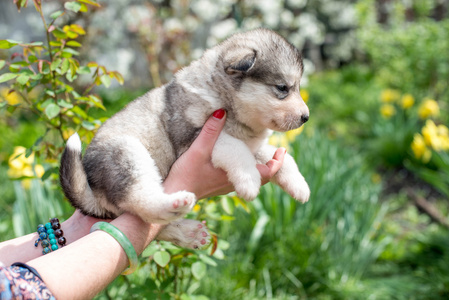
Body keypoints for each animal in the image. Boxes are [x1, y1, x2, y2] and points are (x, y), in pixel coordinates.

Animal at [59, 28, 310, 248]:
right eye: (282, 87)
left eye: (297, 87)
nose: (306, 117)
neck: (224, 97)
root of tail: (91, 191)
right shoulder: (193, 138)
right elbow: (235, 148)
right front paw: (248, 181)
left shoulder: (254, 145)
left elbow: (283, 158)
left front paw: (299, 185)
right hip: (127, 153)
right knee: (141, 200)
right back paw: (175, 205)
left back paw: (187, 232)